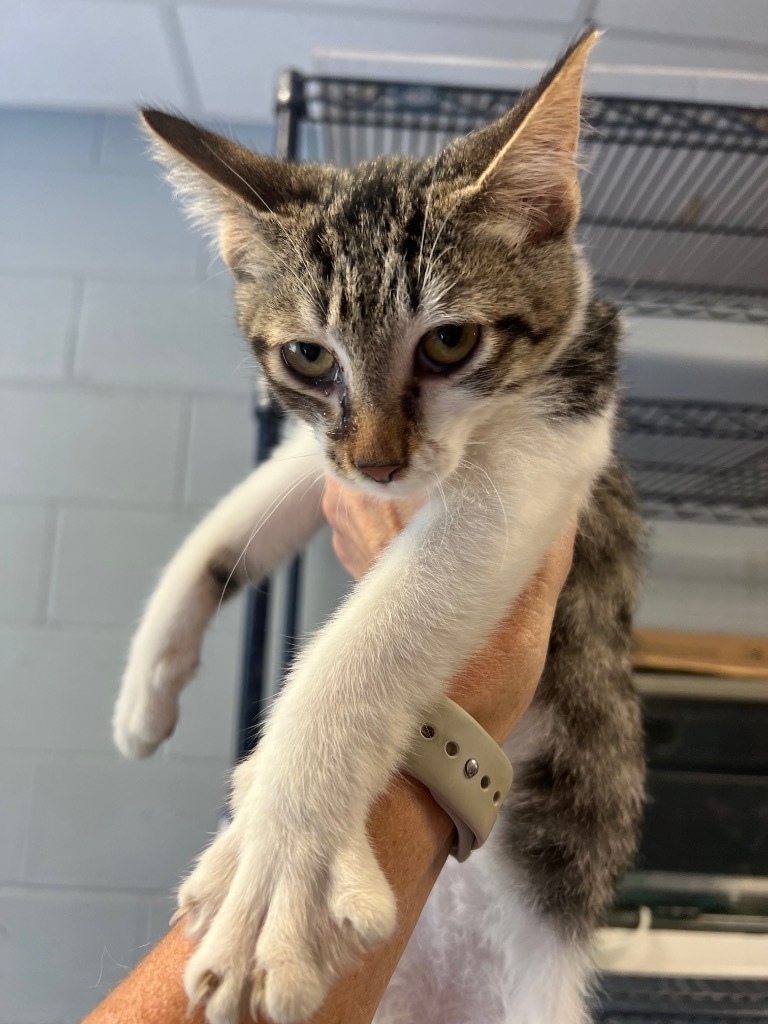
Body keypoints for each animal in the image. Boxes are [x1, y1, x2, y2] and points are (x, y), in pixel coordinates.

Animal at [112, 29, 643, 1024]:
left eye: (449, 343)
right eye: (307, 357)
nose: (381, 465)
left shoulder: (556, 437)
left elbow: (374, 632)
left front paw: (282, 864)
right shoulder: (327, 455)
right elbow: (256, 505)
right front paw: (150, 684)